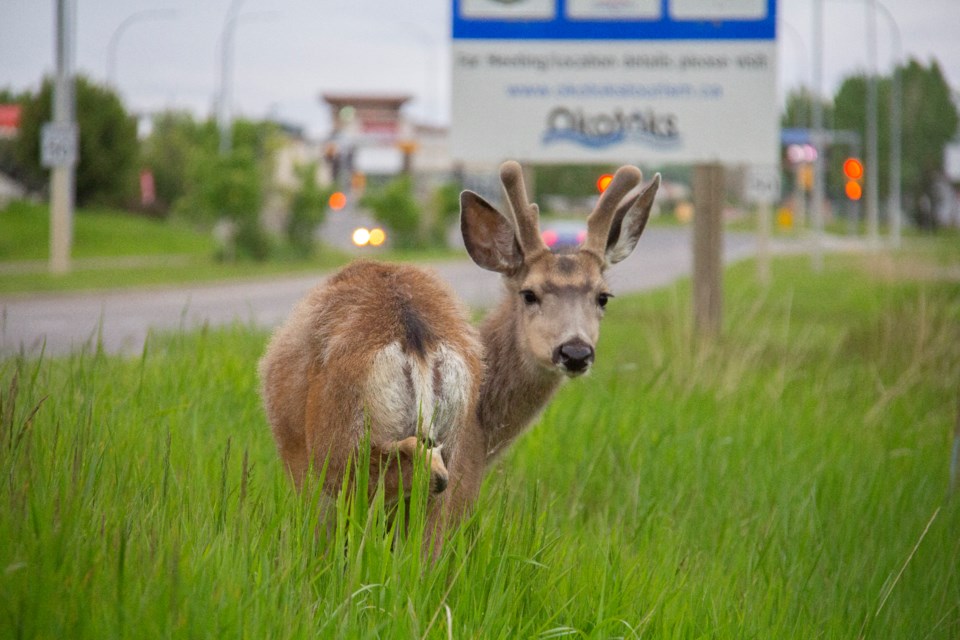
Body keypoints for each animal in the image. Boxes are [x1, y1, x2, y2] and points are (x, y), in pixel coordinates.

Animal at [258, 159, 656, 536]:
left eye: (603, 297)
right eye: (529, 293)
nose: (575, 352)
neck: (488, 426)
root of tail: (412, 333)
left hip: (339, 445)